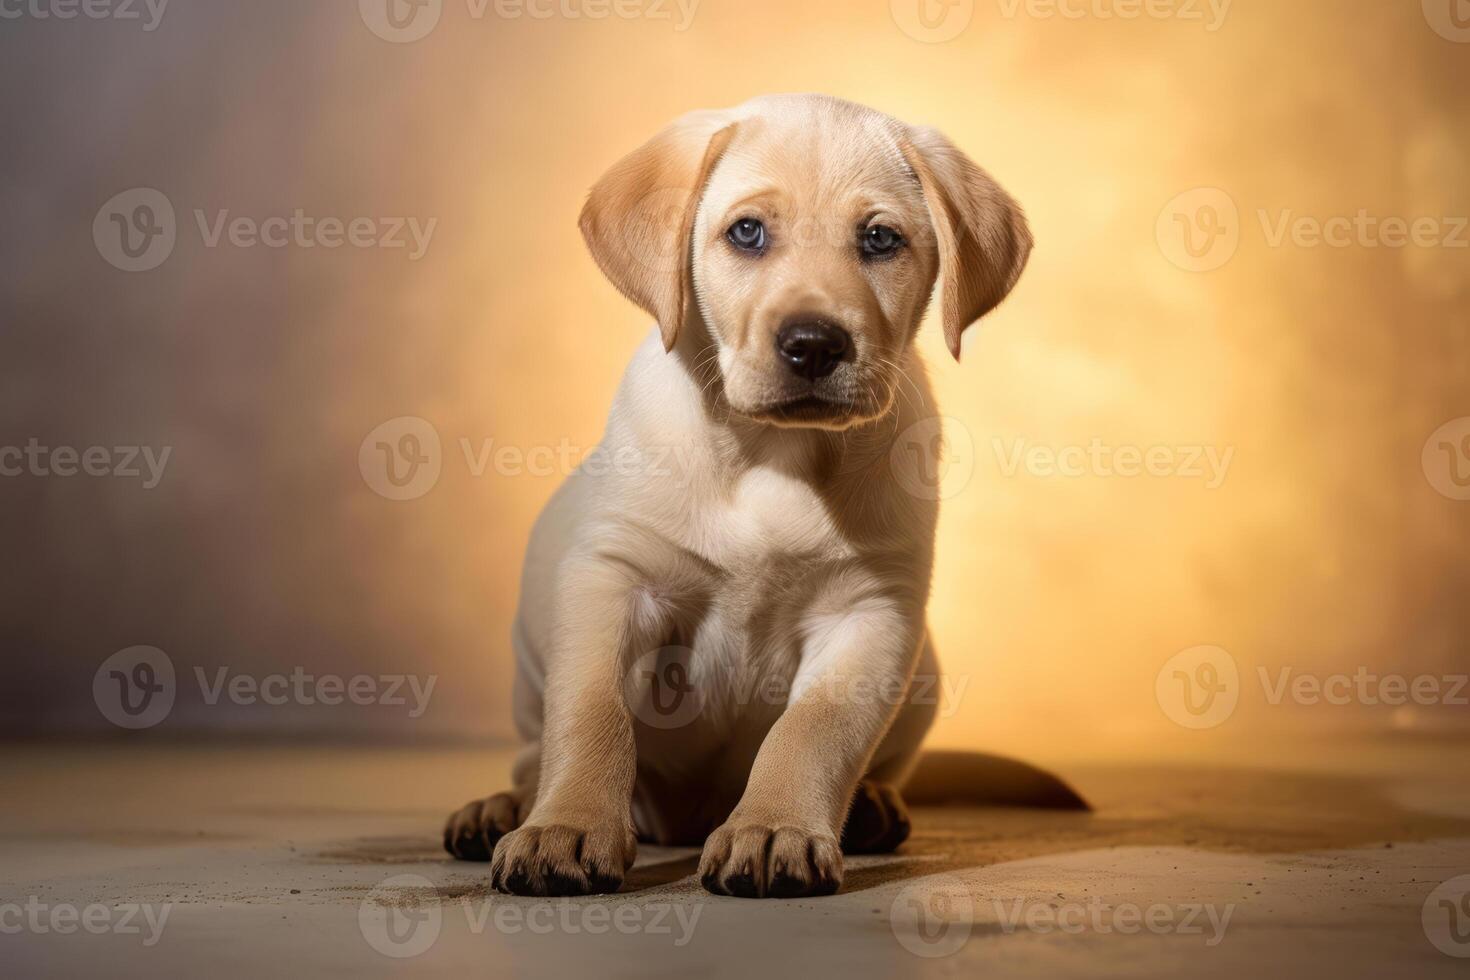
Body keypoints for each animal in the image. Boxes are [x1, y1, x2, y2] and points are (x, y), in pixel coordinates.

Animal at [441, 95, 1029, 899]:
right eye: (747, 232)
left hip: (926, 675)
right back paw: (499, 810)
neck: (772, 454)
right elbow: (591, 715)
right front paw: (564, 828)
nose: (813, 345)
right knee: (533, 754)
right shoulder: (612, 578)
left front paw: (774, 829)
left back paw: (873, 808)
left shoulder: (871, 612)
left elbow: (811, 730)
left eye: (880, 239)